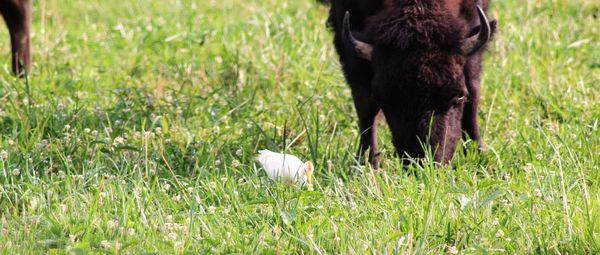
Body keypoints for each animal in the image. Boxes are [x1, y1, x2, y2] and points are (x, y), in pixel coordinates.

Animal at [328, 0, 496, 165]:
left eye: (459, 96)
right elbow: (366, 107)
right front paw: (367, 162)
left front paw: (480, 155)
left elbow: (473, 94)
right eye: (381, 99)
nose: (424, 162)